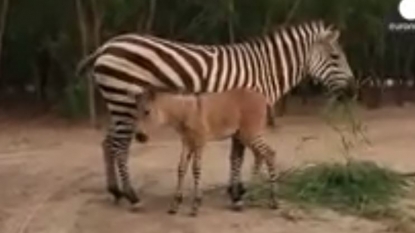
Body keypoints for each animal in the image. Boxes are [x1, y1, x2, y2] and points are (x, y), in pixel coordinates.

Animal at [77, 20, 354, 209]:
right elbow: (238, 156)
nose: (352, 89)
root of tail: (106, 46)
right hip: (124, 102)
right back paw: (131, 195)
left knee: (108, 143)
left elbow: (235, 156)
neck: (264, 71)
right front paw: (237, 193)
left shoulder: (238, 119)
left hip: (118, 104)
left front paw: (235, 190)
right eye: (335, 57)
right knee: (119, 147)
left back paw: (115, 191)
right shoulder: (243, 117)